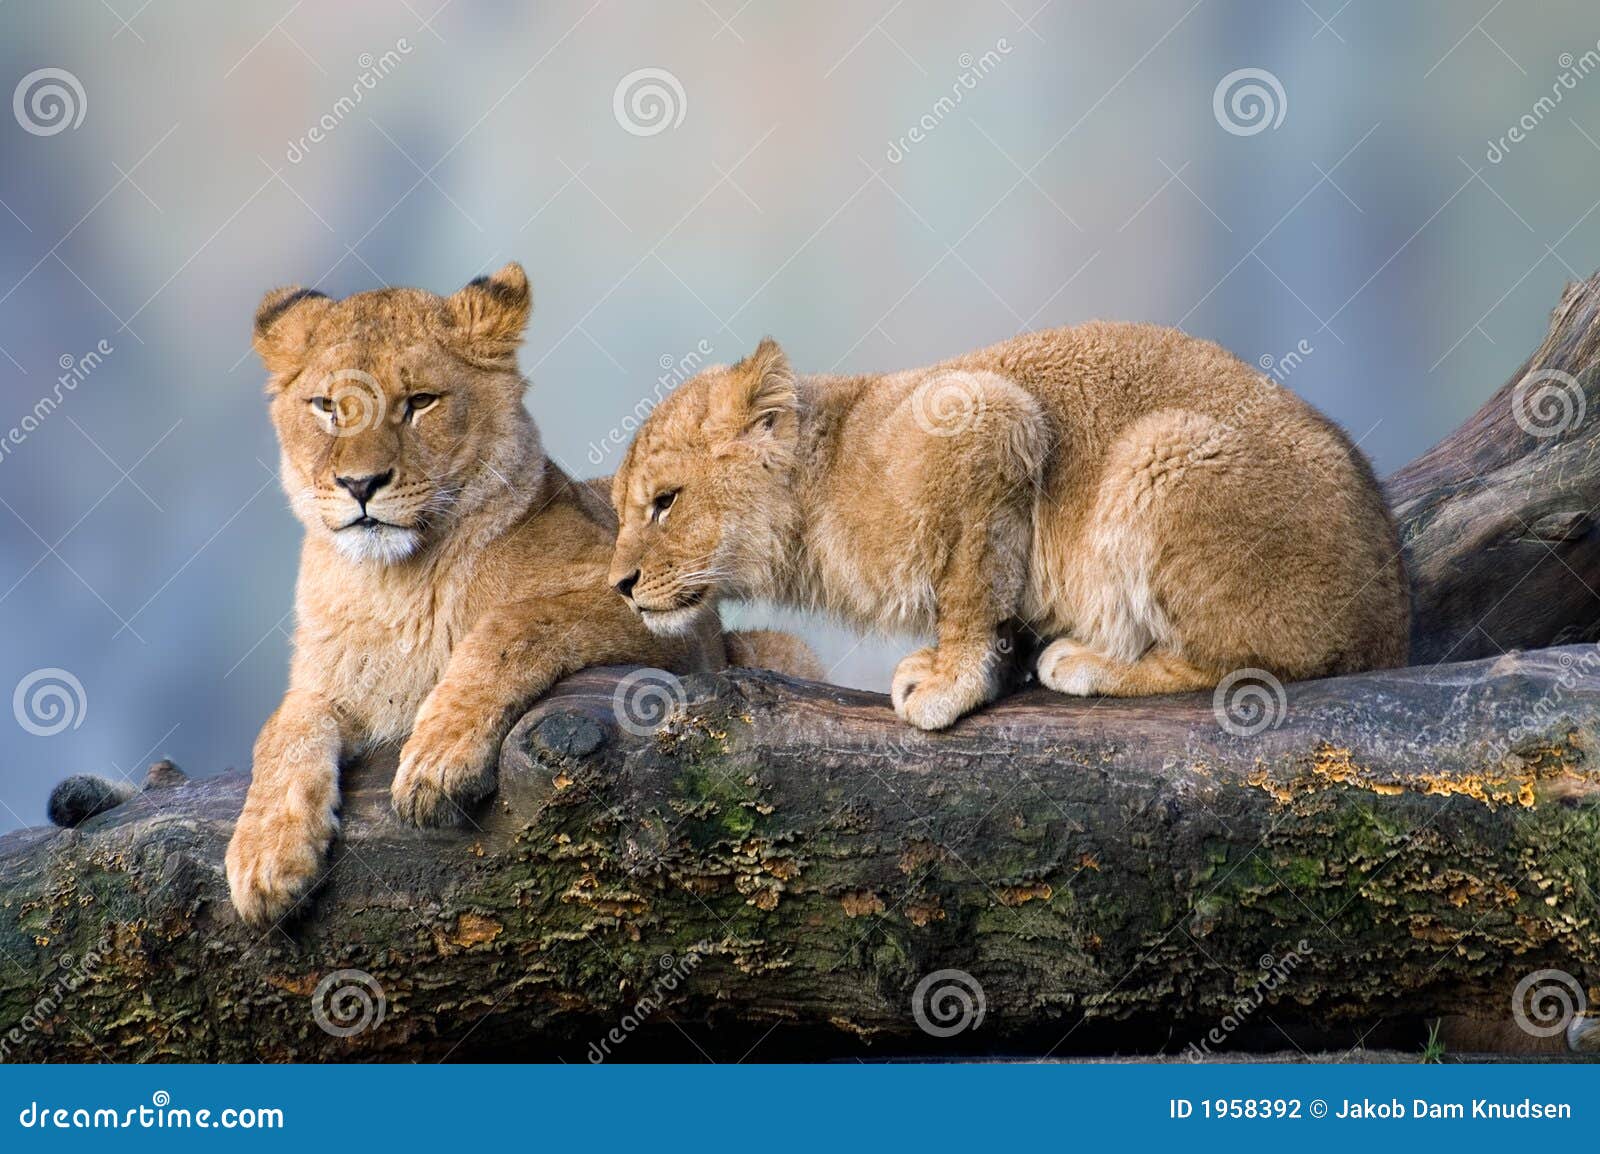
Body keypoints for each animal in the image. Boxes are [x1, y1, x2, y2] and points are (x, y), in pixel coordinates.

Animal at [225, 264, 820, 925]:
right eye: (327, 407)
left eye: (420, 402)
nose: (360, 484)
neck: (393, 581)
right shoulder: (330, 686)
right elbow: (284, 724)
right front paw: (264, 854)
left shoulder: (683, 629)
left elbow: (516, 622)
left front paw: (439, 760)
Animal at [608, 324, 1409, 731]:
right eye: (622, 509)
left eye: (665, 502)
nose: (620, 584)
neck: (821, 481)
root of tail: (1393, 621)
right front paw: (978, 665)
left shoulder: (990, 421)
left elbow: (967, 594)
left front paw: (948, 683)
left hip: (1162, 448)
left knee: (1251, 665)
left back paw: (1091, 661)